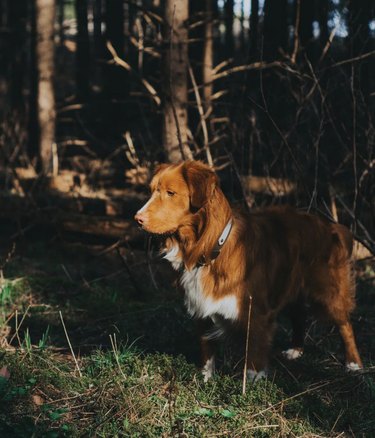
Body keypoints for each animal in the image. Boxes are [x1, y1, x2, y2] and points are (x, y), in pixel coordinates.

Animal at [134, 160, 362, 380]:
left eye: (170, 193)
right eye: (151, 191)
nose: (137, 219)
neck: (209, 248)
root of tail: (330, 225)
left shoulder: (256, 311)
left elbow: (254, 352)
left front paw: (251, 383)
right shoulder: (201, 307)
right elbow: (207, 348)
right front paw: (205, 378)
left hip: (328, 291)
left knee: (345, 324)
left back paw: (354, 363)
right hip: (288, 285)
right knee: (299, 315)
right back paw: (295, 350)